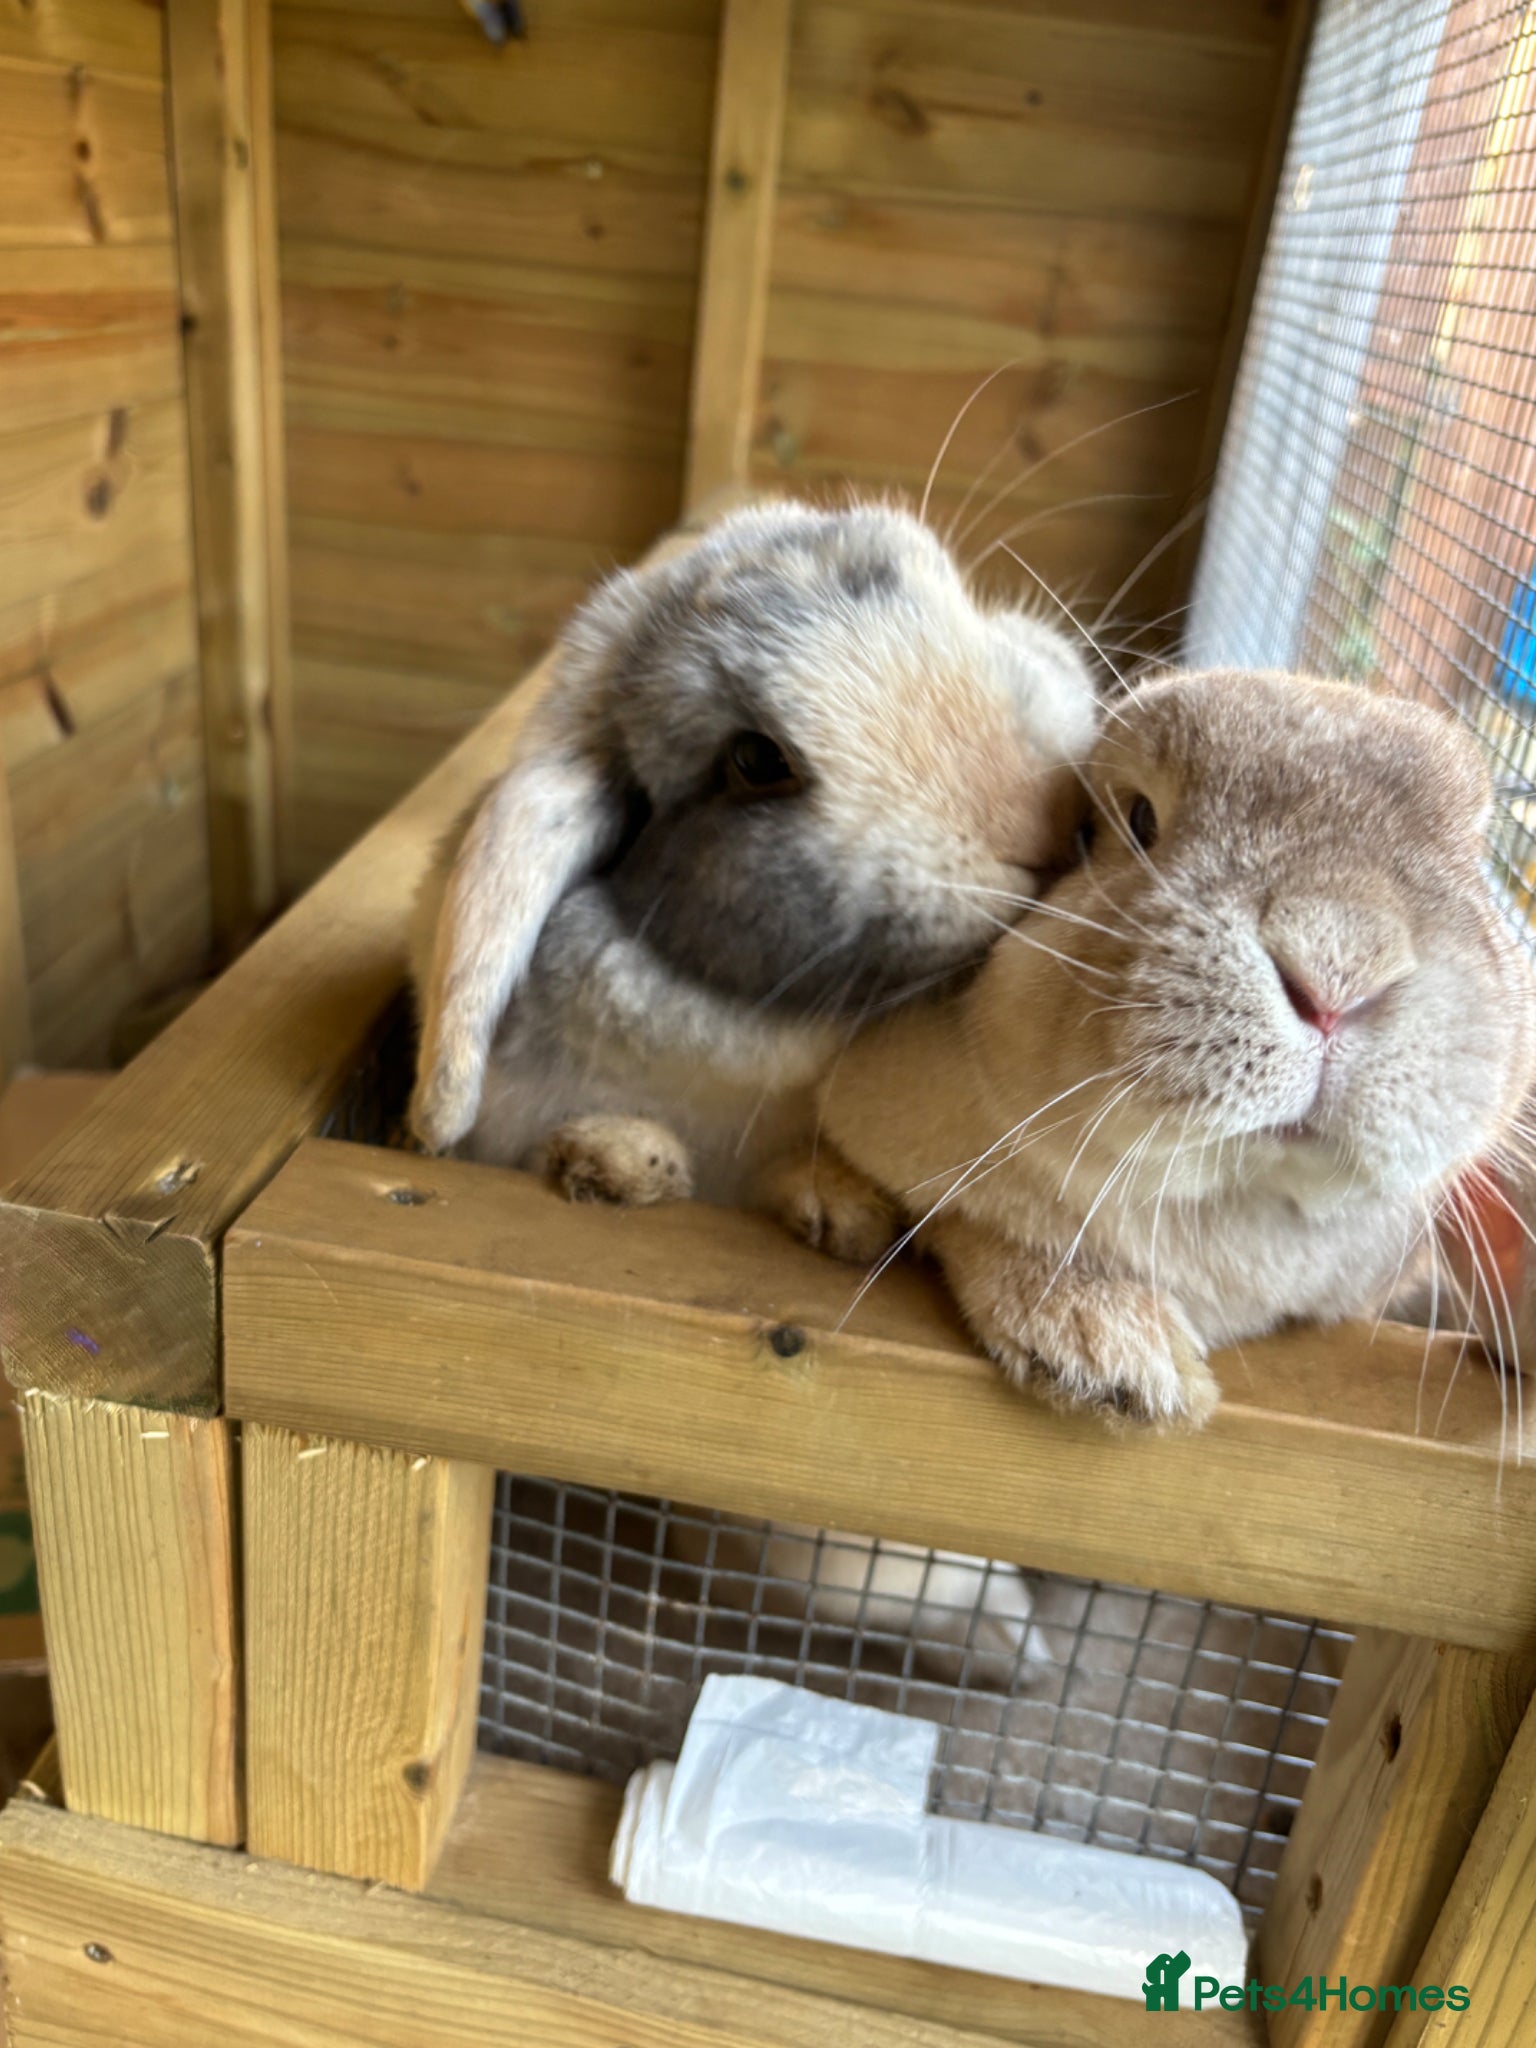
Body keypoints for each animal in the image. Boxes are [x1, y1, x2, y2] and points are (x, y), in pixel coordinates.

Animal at [806, 668, 1536, 1432]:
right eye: (1139, 820)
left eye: (1472, 861)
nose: (1339, 974)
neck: (1227, 1202)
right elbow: (967, 1220)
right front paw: (1110, 1353)